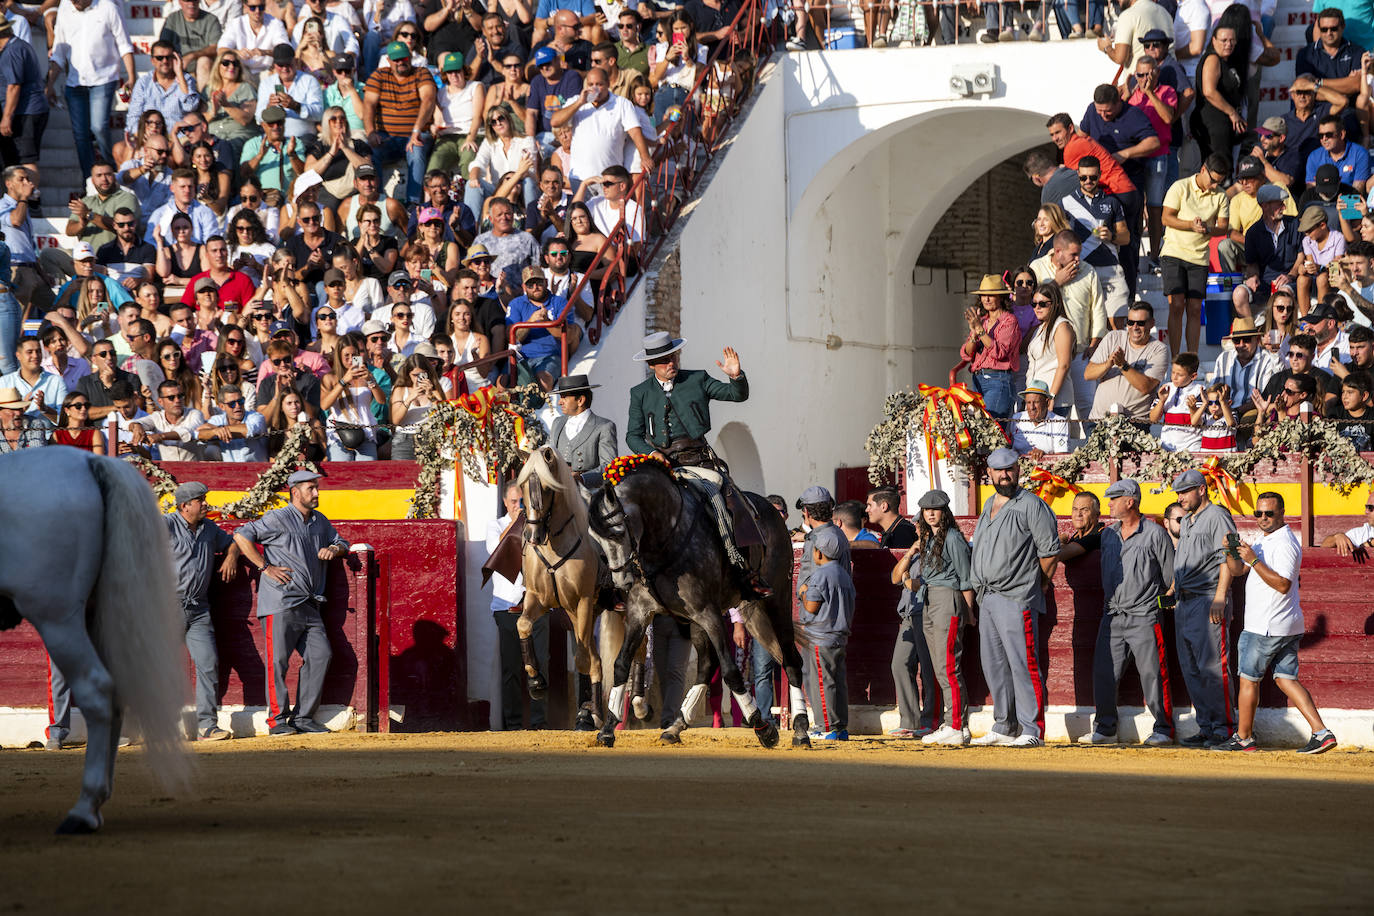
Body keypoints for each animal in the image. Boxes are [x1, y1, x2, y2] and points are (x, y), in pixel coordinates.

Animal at [585, 461, 807, 747]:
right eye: (596, 537)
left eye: (619, 531)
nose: (621, 581)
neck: (663, 538)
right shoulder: (640, 613)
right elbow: (621, 664)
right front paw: (607, 729)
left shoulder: (708, 613)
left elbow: (731, 671)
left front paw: (764, 728)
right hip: (725, 616)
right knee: (706, 665)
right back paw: (676, 726)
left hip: (776, 601)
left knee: (790, 659)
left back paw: (801, 730)